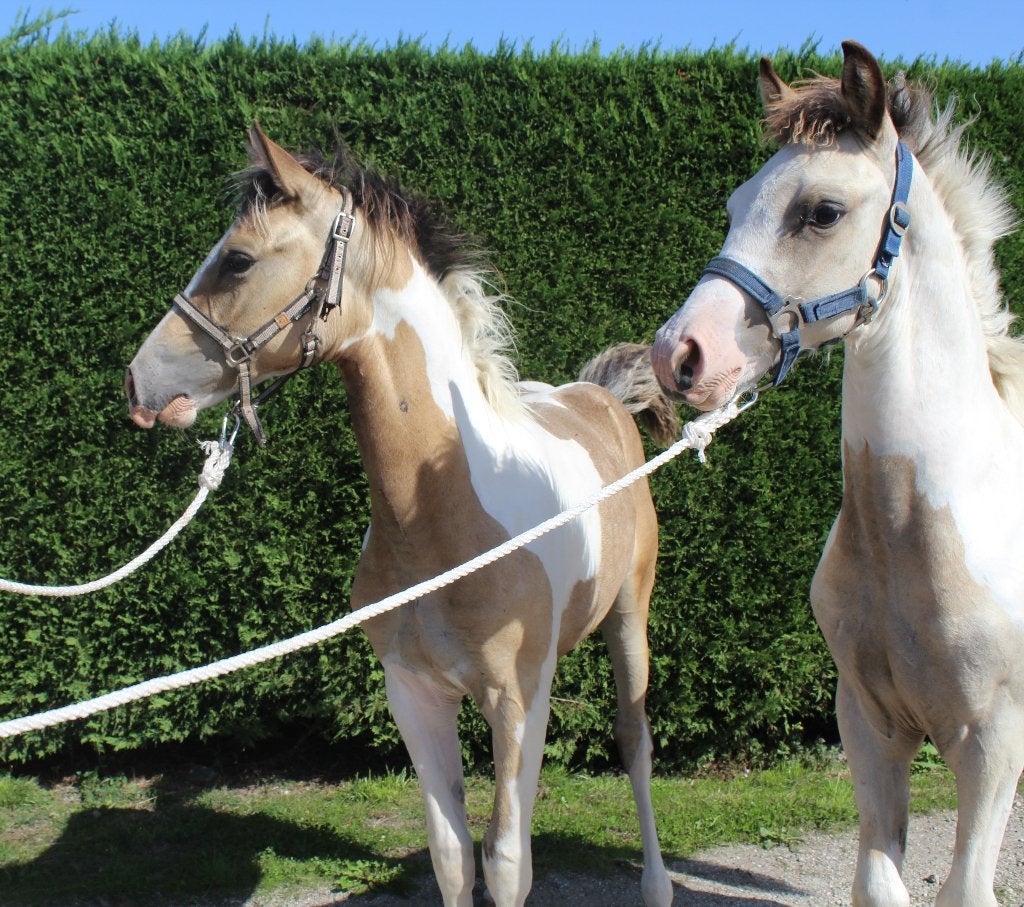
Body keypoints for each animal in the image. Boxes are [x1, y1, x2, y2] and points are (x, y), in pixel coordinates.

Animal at [124, 124, 677, 907]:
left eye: (237, 260)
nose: (138, 382)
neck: (443, 521)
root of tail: (598, 396)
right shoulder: (413, 694)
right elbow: (452, 853)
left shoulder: (515, 700)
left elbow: (507, 861)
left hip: (631, 615)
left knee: (635, 741)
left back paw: (657, 883)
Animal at [650, 40, 1024, 907]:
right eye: (736, 205)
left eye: (821, 211)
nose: (679, 354)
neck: (911, 533)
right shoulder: (868, 723)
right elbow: (879, 883)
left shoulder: (992, 741)